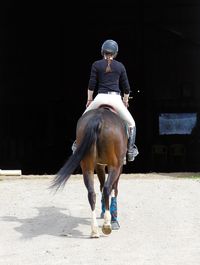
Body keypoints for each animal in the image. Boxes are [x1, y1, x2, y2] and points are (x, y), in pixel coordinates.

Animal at [50, 105, 128, 237]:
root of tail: (99, 120)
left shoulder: (99, 165)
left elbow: (101, 185)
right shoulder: (118, 166)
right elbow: (114, 188)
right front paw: (113, 218)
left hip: (87, 167)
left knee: (92, 193)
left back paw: (94, 230)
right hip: (115, 166)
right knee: (107, 188)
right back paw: (107, 225)